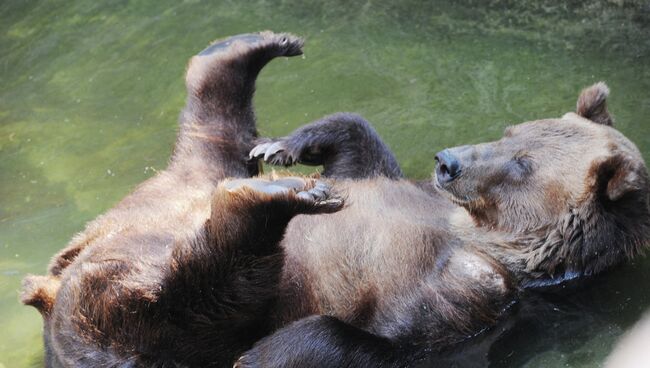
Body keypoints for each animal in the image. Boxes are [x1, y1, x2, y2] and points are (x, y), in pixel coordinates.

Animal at [21, 32, 648, 368]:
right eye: (512, 131)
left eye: (523, 165)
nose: (448, 161)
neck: (479, 234)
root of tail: (48, 287)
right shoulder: (398, 187)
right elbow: (358, 143)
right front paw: (286, 145)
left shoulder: (483, 300)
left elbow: (374, 339)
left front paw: (262, 355)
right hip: (176, 186)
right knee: (216, 138)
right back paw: (247, 57)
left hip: (148, 331)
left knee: (194, 292)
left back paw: (271, 199)